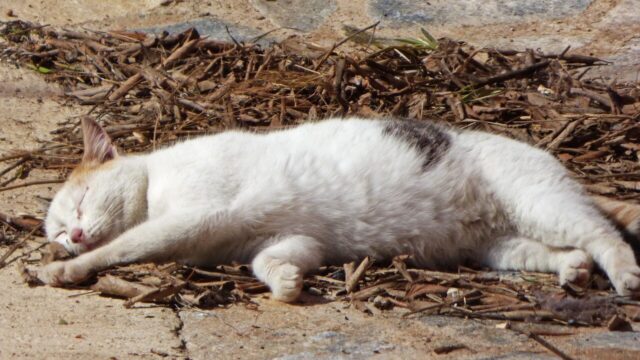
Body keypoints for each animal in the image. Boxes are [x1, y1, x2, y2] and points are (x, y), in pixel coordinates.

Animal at [40, 116, 640, 300]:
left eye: (80, 204)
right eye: (58, 230)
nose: (72, 237)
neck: (155, 181)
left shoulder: (193, 215)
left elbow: (127, 246)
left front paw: (66, 270)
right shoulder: (289, 240)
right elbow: (268, 259)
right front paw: (286, 284)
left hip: (538, 201)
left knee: (603, 234)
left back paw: (624, 276)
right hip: (499, 247)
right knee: (562, 248)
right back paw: (571, 270)